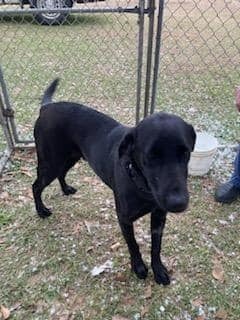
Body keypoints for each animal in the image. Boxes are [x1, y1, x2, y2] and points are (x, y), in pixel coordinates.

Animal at [32, 79, 196, 284]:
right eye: (150, 156)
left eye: (185, 153)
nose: (178, 203)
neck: (142, 187)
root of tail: (46, 108)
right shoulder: (124, 219)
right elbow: (133, 245)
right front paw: (139, 268)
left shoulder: (159, 217)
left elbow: (156, 247)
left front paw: (158, 270)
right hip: (50, 163)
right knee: (36, 186)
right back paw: (41, 211)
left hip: (70, 158)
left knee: (61, 174)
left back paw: (66, 189)